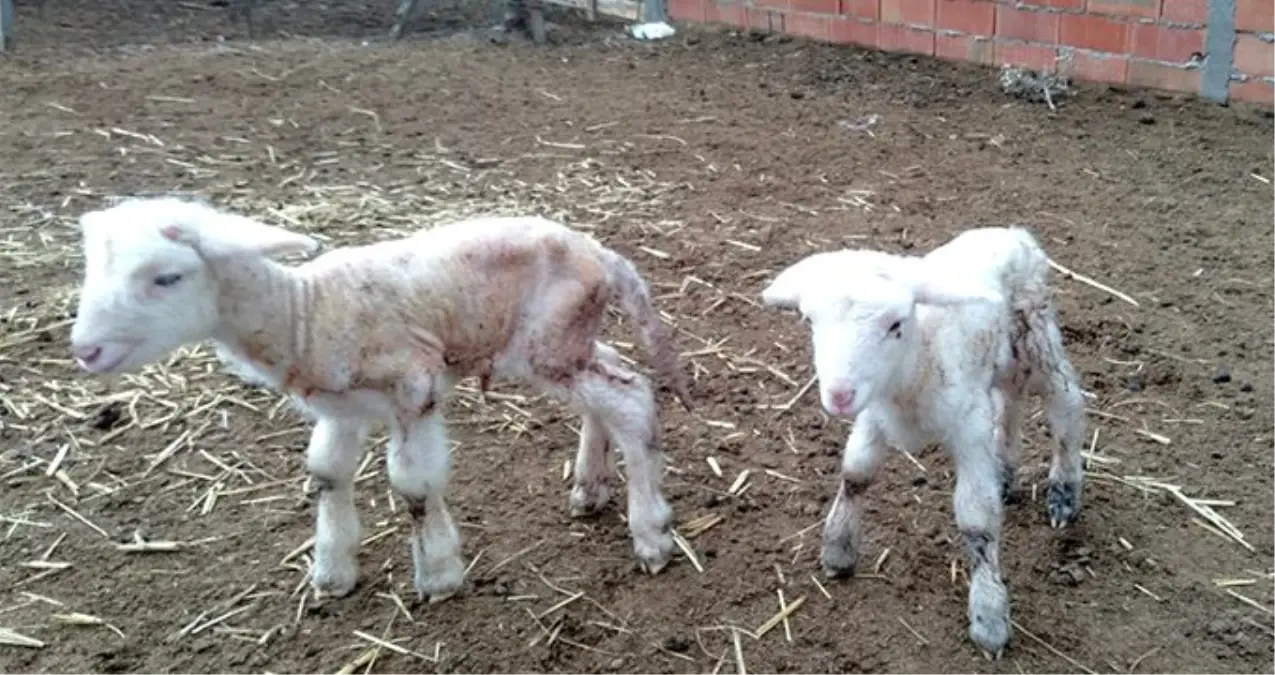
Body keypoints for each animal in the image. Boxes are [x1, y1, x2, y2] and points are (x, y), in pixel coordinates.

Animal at [65, 195, 693, 599]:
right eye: (91, 270)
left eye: (167, 277)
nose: (85, 350)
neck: (307, 313)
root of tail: (600, 252)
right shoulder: (340, 408)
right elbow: (326, 472)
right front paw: (332, 572)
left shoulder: (414, 387)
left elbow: (413, 486)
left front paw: (438, 575)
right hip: (559, 339)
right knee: (610, 381)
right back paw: (590, 486)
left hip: (548, 342)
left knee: (632, 399)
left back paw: (651, 535)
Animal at [754, 225, 1086, 658]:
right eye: (809, 321)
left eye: (896, 325)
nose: (839, 395)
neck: (918, 359)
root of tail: (1013, 233)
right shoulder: (875, 412)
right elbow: (856, 472)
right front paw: (838, 549)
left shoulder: (968, 425)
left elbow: (977, 518)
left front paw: (989, 617)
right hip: (1000, 360)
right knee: (1009, 400)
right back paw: (1004, 472)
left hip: (1035, 331)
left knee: (1066, 401)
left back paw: (1063, 492)